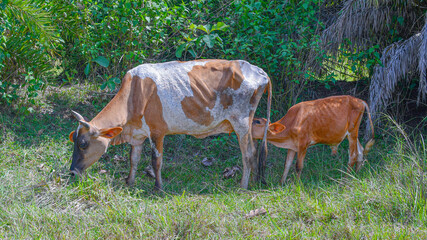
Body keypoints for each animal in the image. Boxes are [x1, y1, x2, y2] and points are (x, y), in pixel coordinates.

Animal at [68, 59, 272, 189]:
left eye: (83, 144)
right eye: (75, 142)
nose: (72, 172)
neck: (134, 95)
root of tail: (258, 71)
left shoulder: (157, 132)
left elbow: (156, 161)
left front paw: (158, 187)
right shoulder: (138, 135)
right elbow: (133, 159)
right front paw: (129, 182)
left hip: (241, 122)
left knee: (247, 154)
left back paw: (243, 187)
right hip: (248, 125)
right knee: (255, 151)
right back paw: (255, 183)